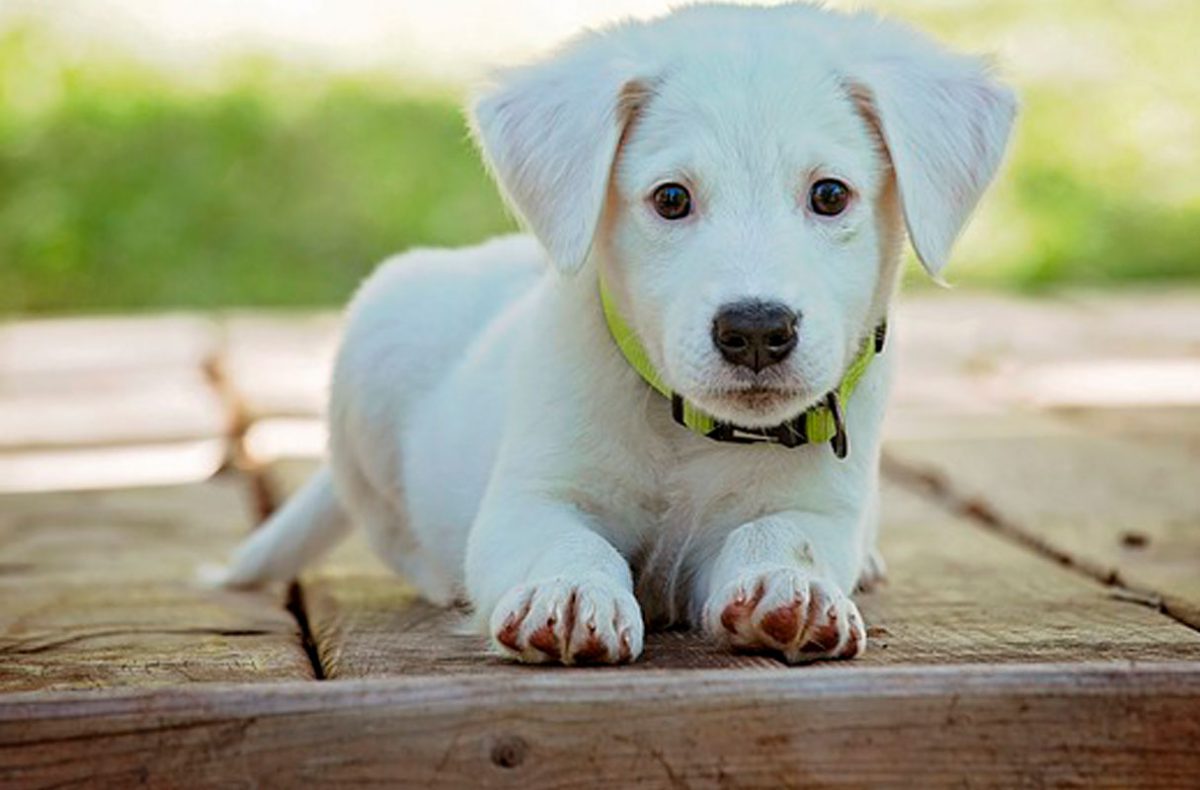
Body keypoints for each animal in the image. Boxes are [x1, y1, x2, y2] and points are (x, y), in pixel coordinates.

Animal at [223, 3, 1012, 662]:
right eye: (671, 199)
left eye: (829, 195)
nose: (757, 330)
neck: (688, 433)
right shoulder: (530, 498)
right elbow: (566, 542)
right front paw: (570, 593)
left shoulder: (816, 507)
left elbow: (781, 534)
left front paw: (792, 588)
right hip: (375, 347)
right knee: (395, 533)